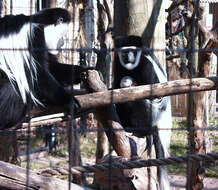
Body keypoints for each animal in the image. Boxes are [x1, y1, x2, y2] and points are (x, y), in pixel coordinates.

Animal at [114, 35, 172, 190]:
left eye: (133, 51)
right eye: (124, 52)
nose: (128, 57)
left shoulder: (147, 64)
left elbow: (155, 93)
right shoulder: (117, 63)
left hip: (153, 115)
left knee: (139, 102)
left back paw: (140, 130)